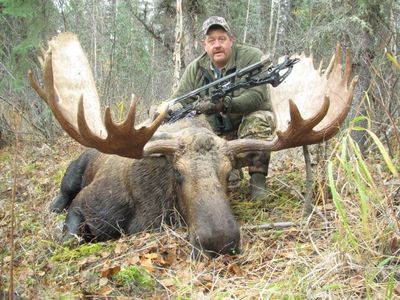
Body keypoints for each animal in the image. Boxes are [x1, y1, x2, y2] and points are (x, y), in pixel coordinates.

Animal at [29, 32, 358, 258]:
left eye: (226, 172)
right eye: (177, 173)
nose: (220, 240)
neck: (146, 209)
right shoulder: (87, 203)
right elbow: (70, 236)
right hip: (75, 169)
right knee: (64, 190)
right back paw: (53, 206)